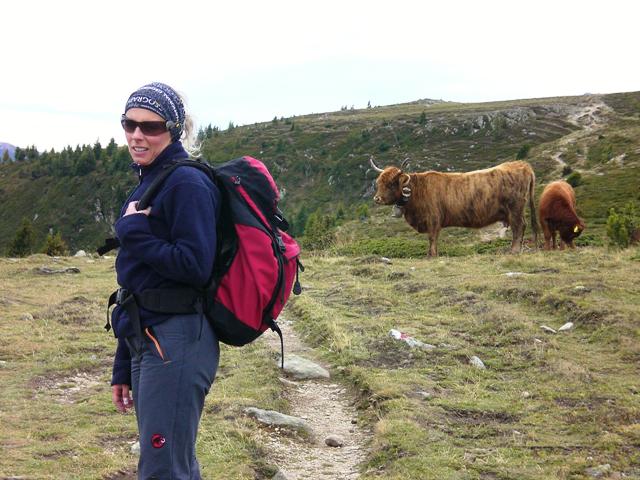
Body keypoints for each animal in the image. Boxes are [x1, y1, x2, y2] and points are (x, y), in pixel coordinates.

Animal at [370, 159, 540, 256]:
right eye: (378, 182)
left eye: (391, 184)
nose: (376, 199)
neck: (417, 191)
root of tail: (522, 164)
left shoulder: (433, 220)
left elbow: (432, 238)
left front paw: (432, 255)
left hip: (515, 209)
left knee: (519, 227)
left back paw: (514, 251)